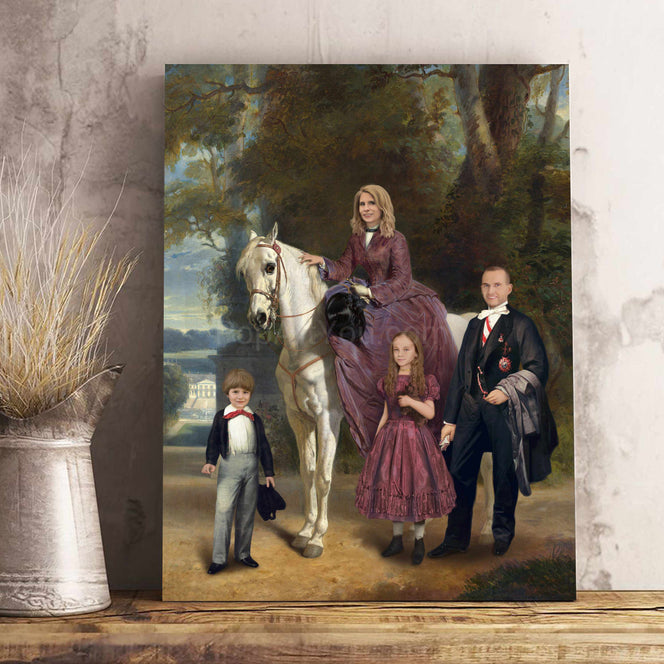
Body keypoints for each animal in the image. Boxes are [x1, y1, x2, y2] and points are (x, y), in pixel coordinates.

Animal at [237, 226, 492, 556]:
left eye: (270, 267)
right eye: (244, 272)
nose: (258, 318)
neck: (307, 344)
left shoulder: (327, 418)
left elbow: (323, 477)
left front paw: (317, 538)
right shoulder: (300, 419)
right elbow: (307, 473)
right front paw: (304, 531)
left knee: (487, 465)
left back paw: (486, 530)